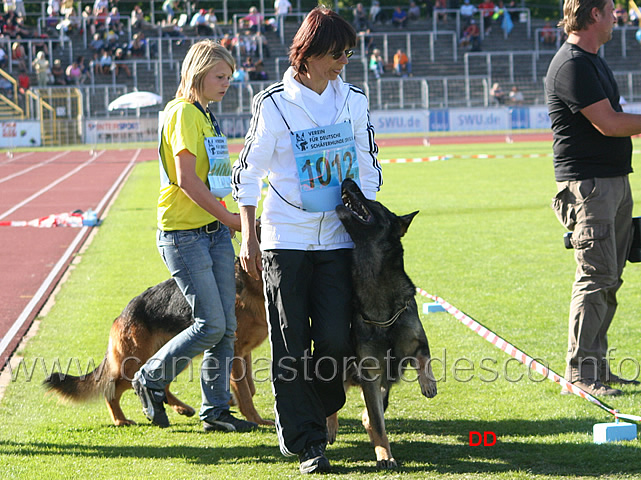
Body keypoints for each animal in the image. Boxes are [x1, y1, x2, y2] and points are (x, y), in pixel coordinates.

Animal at [43, 258, 270, 428]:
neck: (250, 283)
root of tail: (122, 314)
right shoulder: (234, 352)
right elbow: (245, 392)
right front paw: (256, 420)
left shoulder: (244, 353)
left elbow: (250, 388)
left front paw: (229, 400)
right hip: (136, 364)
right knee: (115, 387)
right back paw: (120, 420)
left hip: (177, 354)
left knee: (159, 382)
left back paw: (180, 408)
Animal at [328, 177, 438, 468]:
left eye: (373, 202)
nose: (348, 180)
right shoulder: (369, 374)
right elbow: (378, 424)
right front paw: (384, 455)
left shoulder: (416, 342)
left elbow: (425, 357)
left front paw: (428, 383)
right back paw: (330, 426)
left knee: (368, 414)